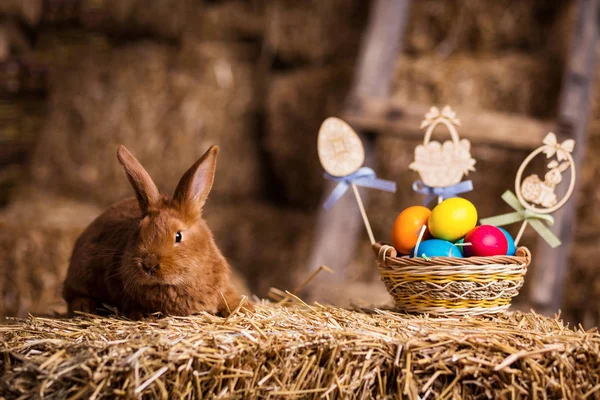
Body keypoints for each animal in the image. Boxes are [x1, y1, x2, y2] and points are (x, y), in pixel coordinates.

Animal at [61, 145, 248, 318]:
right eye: (138, 232)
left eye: (178, 236)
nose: (148, 264)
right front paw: (143, 315)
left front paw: (246, 308)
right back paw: (86, 307)